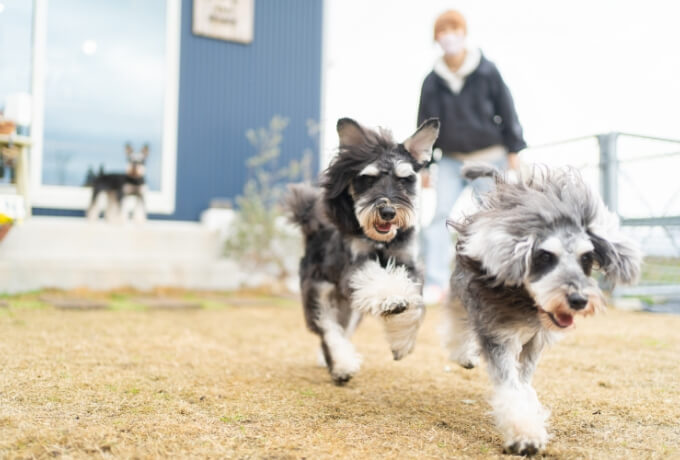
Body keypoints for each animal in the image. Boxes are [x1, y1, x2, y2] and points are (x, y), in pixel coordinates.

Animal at [286, 117, 440, 384]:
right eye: (368, 179)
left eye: (404, 179)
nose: (388, 212)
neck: (380, 241)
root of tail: (313, 230)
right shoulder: (355, 268)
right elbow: (376, 279)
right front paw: (391, 298)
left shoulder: (408, 264)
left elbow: (417, 305)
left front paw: (402, 342)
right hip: (318, 294)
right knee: (328, 330)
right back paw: (341, 365)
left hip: (350, 310)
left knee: (342, 330)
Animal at [444, 164, 640, 454]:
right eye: (546, 256)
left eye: (586, 258)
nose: (578, 300)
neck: (527, 303)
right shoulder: (498, 335)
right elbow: (510, 388)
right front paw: (525, 435)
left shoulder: (535, 343)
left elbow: (523, 383)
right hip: (462, 293)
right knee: (458, 323)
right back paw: (464, 353)